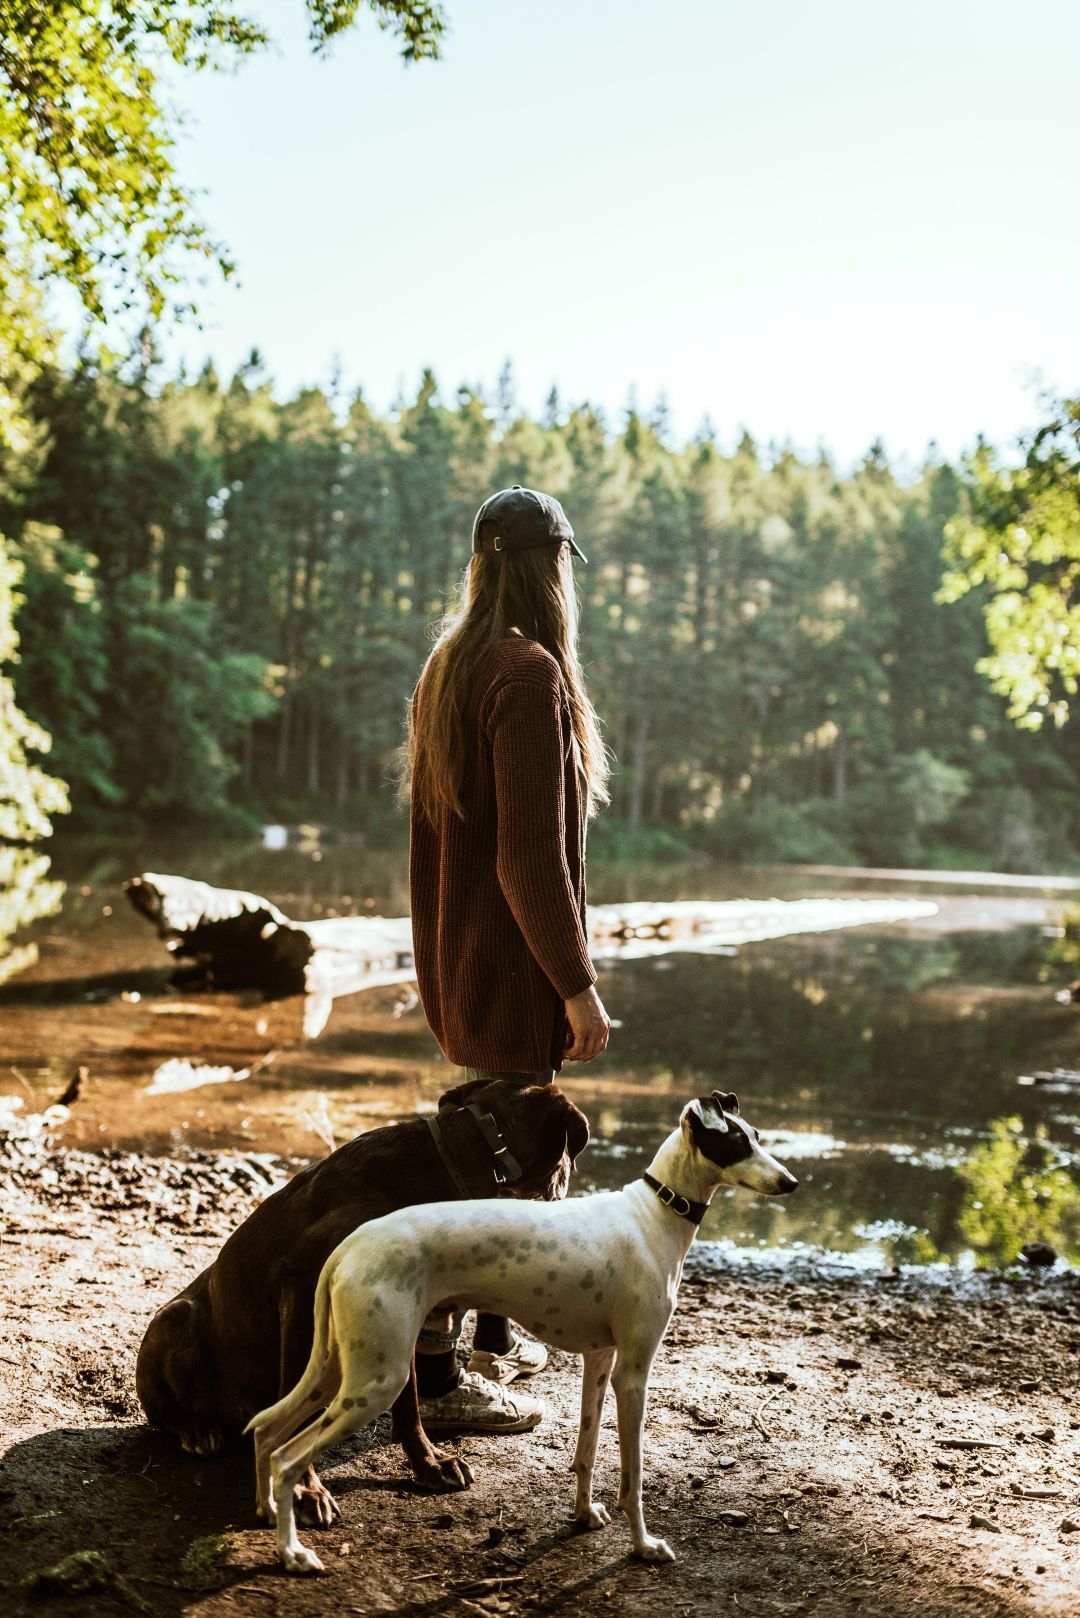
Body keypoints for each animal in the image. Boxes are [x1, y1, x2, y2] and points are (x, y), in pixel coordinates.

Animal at [139, 1074, 592, 1514]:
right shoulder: (303, 1286)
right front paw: (305, 1490)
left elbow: (408, 1401)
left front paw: (429, 1464)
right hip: (176, 1318)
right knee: (164, 1411)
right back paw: (197, 1429)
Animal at [249, 1093, 799, 1572]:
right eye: (736, 1143)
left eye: (757, 1136)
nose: (791, 1182)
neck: (654, 1214)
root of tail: (350, 1244)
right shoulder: (633, 1374)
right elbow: (633, 1476)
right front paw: (644, 1545)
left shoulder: (600, 1360)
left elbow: (586, 1449)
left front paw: (584, 1515)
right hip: (375, 1381)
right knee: (287, 1457)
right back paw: (293, 1554)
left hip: (337, 1367)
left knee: (265, 1432)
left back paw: (269, 1513)